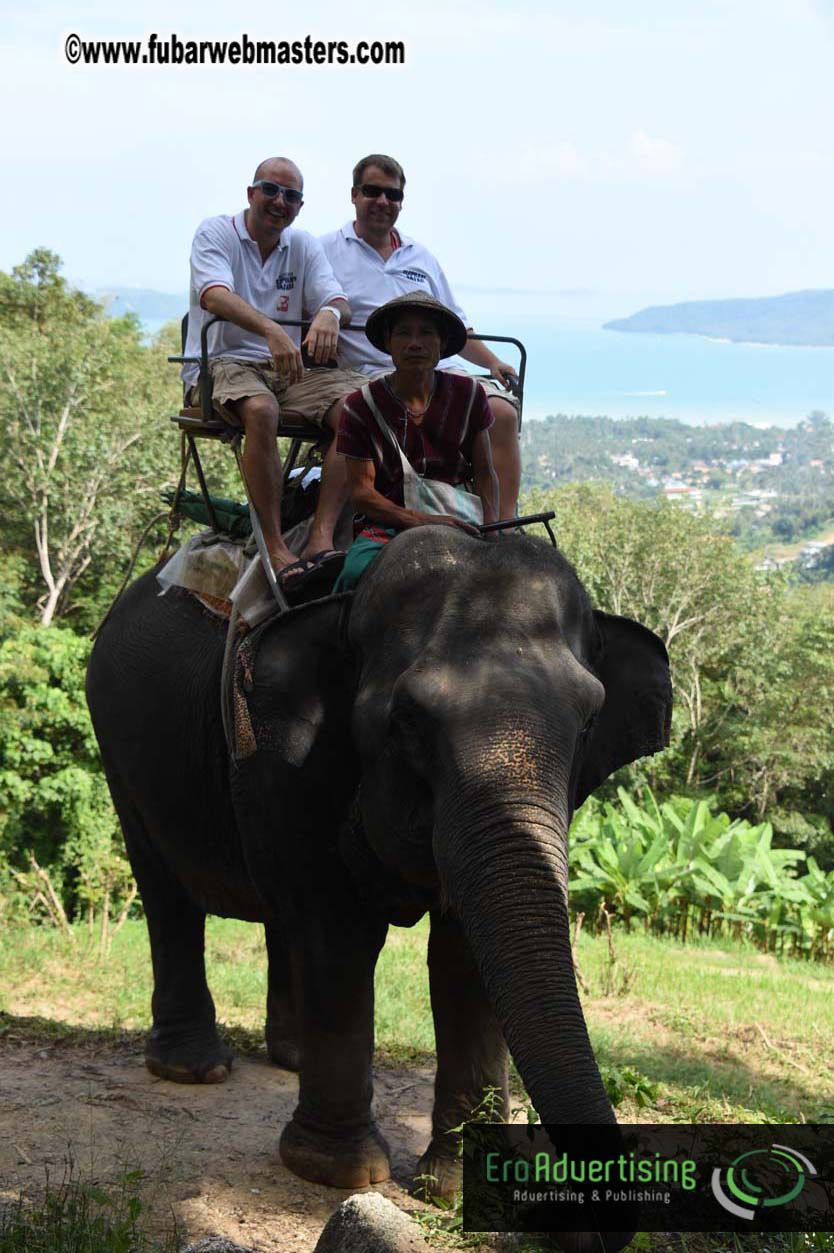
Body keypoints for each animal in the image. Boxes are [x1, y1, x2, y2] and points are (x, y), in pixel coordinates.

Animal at [86, 525, 671, 1253]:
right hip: (121, 744)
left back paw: (290, 1057)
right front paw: (337, 1172)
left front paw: (461, 1189)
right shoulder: (290, 755)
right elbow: (340, 932)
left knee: (279, 916)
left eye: (590, 719)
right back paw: (196, 1069)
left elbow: (463, 958)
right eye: (408, 719)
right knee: (168, 891)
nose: (572, 1216)